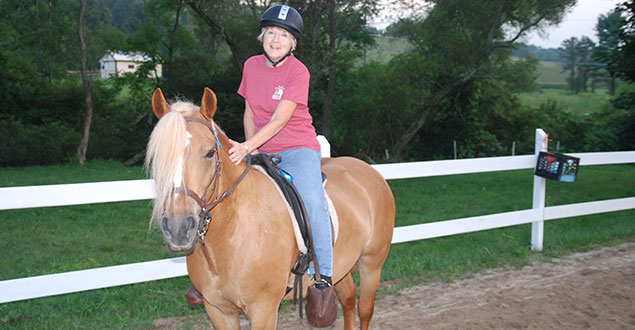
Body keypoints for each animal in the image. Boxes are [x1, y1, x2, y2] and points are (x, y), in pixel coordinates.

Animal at [147, 88, 396, 330]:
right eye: (158, 156)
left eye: (210, 152)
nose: (178, 229)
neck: (232, 232)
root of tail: (368, 170)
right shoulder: (218, 310)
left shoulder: (263, 309)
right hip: (342, 266)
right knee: (348, 300)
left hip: (372, 263)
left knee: (364, 309)